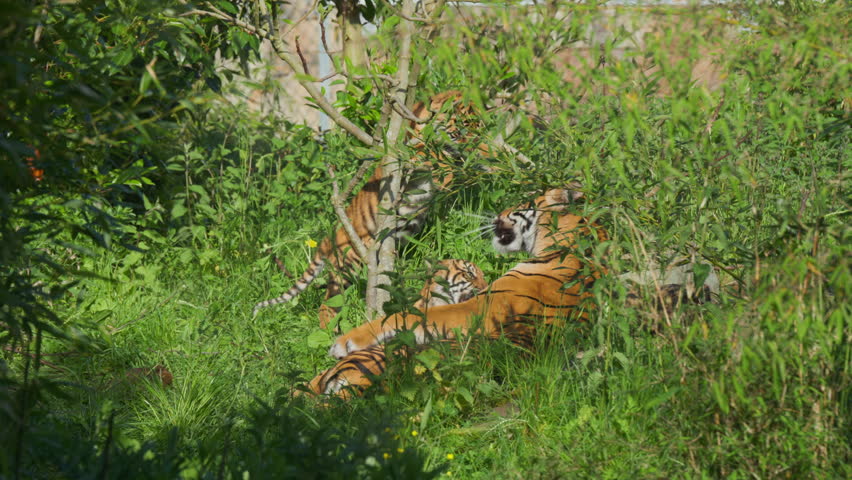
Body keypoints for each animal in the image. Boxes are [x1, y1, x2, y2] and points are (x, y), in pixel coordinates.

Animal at [252, 91, 494, 327]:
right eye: (460, 129)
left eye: (478, 126)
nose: (478, 140)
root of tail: (328, 239)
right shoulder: (413, 157)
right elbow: (437, 158)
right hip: (350, 262)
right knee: (328, 302)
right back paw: (329, 330)